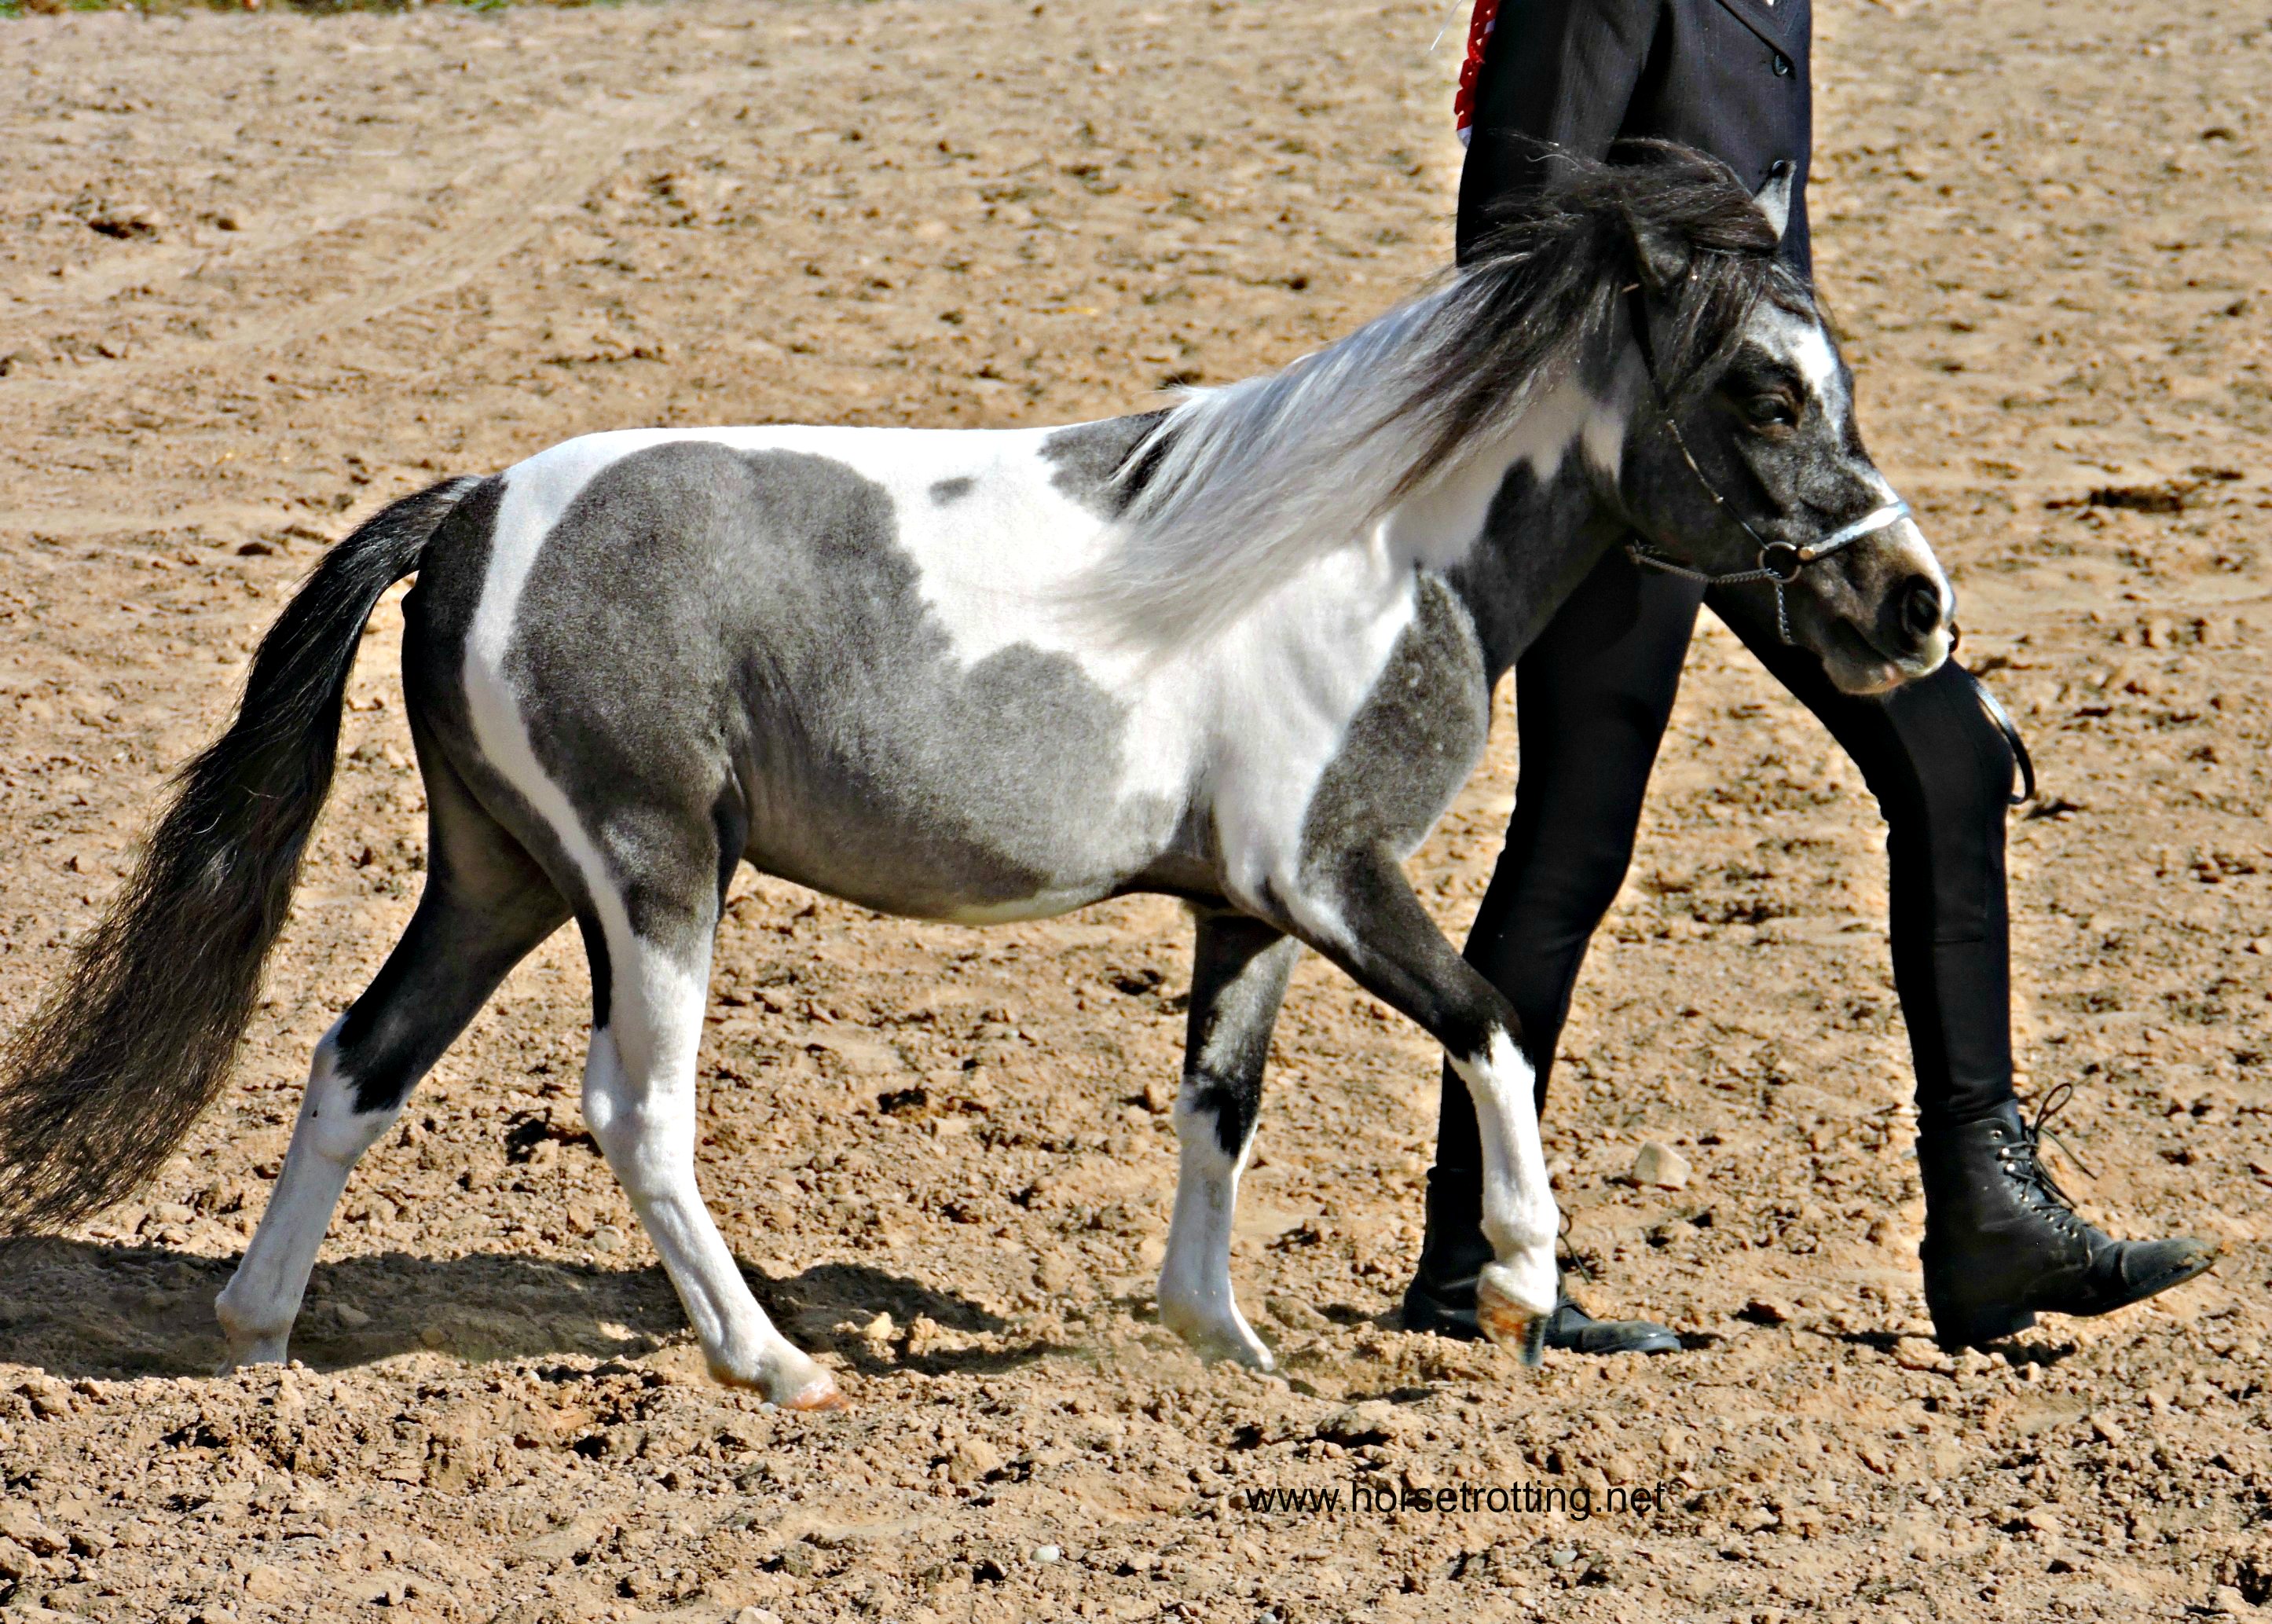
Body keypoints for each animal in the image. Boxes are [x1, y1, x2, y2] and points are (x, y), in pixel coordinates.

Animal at [0, 149, 1949, 1410]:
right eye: (1766, 392)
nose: (1911, 607)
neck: (1371, 552)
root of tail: (475, 512)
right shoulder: (1333, 875)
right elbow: (1491, 1021)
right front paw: (1524, 1293)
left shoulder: (1245, 909)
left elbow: (1219, 1106)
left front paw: (1225, 1342)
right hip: (647, 873)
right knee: (636, 1110)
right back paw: (773, 1363)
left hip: (499, 874)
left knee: (358, 1058)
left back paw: (258, 1336)